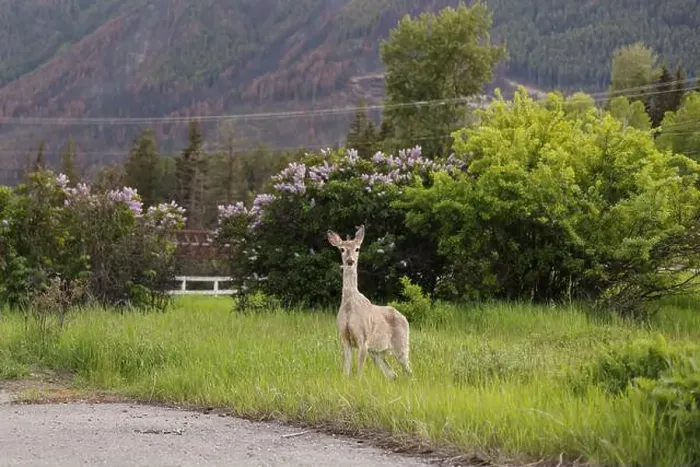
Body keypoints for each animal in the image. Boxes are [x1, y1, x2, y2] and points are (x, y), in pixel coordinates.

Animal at [327, 224, 412, 379]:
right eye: (342, 249)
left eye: (357, 248)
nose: (350, 261)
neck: (350, 306)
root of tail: (404, 317)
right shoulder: (344, 338)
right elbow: (346, 371)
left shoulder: (363, 339)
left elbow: (359, 372)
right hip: (377, 352)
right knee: (392, 374)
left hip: (402, 344)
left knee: (409, 371)